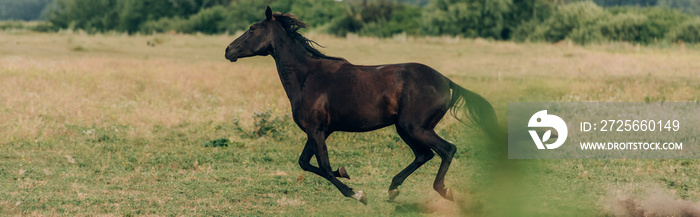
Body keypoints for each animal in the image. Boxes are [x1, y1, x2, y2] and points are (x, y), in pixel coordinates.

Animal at [226, 5, 504, 205]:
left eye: (252, 28)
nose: (228, 50)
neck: (307, 76)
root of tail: (446, 81)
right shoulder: (320, 130)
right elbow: (306, 163)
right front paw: (345, 171)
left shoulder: (317, 130)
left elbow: (324, 166)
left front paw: (357, 194)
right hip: (405, 128)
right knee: (424, 154)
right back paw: (392, 190)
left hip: (415, 127)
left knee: (447, 150)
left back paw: (443, 191)